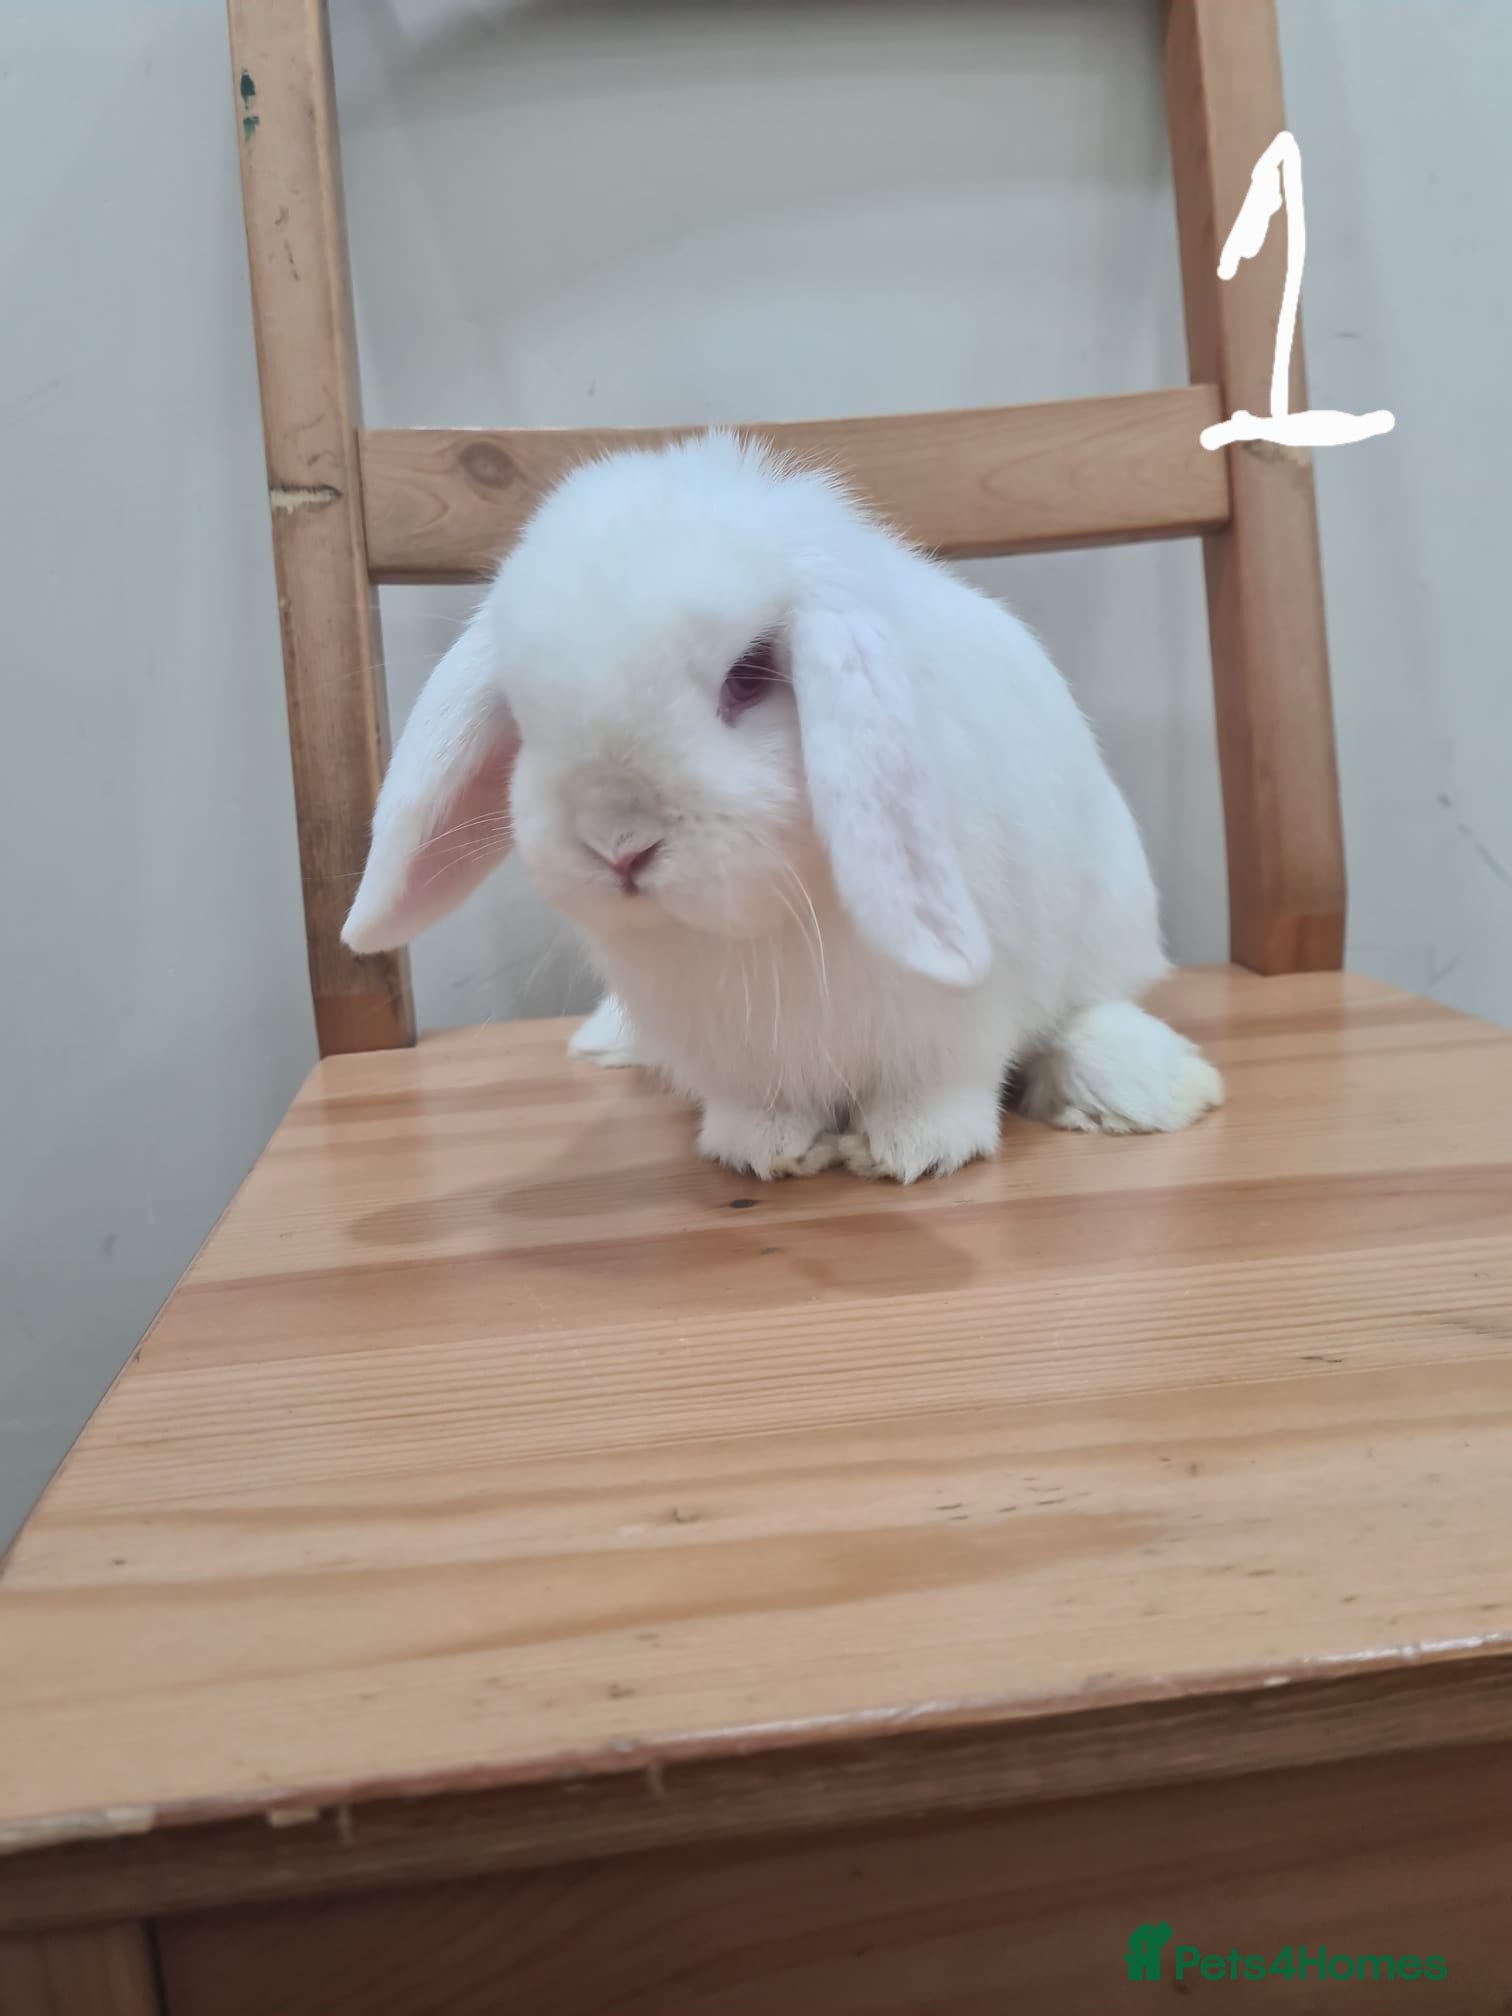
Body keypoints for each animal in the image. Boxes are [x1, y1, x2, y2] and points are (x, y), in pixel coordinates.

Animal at [343, 430, 1222, 1181]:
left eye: (748, 676)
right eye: (523, 720)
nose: (619, 845)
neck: (758, 930)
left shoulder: (956, 1022)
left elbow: (942, 1089)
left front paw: (913, 1149)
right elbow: (758, 1108)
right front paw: (764, 1150)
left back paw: (1144, 1086)